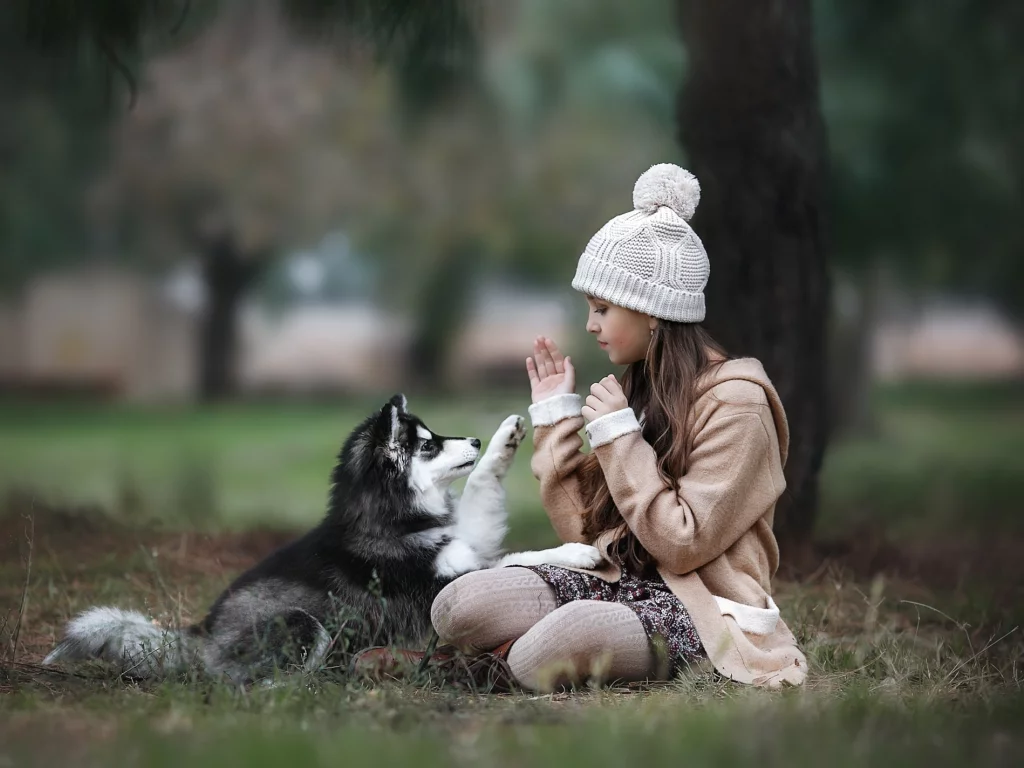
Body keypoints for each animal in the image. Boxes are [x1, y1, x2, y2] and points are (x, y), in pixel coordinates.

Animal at [41, 397, 598, 684]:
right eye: (427, 445)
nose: (476, 440)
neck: (392, 518)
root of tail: (201, 635)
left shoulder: (465, 540)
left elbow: (482, 488)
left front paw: (506, 439)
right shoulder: (446, 579)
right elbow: (516, 557)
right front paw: (576, 552)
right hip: (302, 624)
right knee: (255, 682)